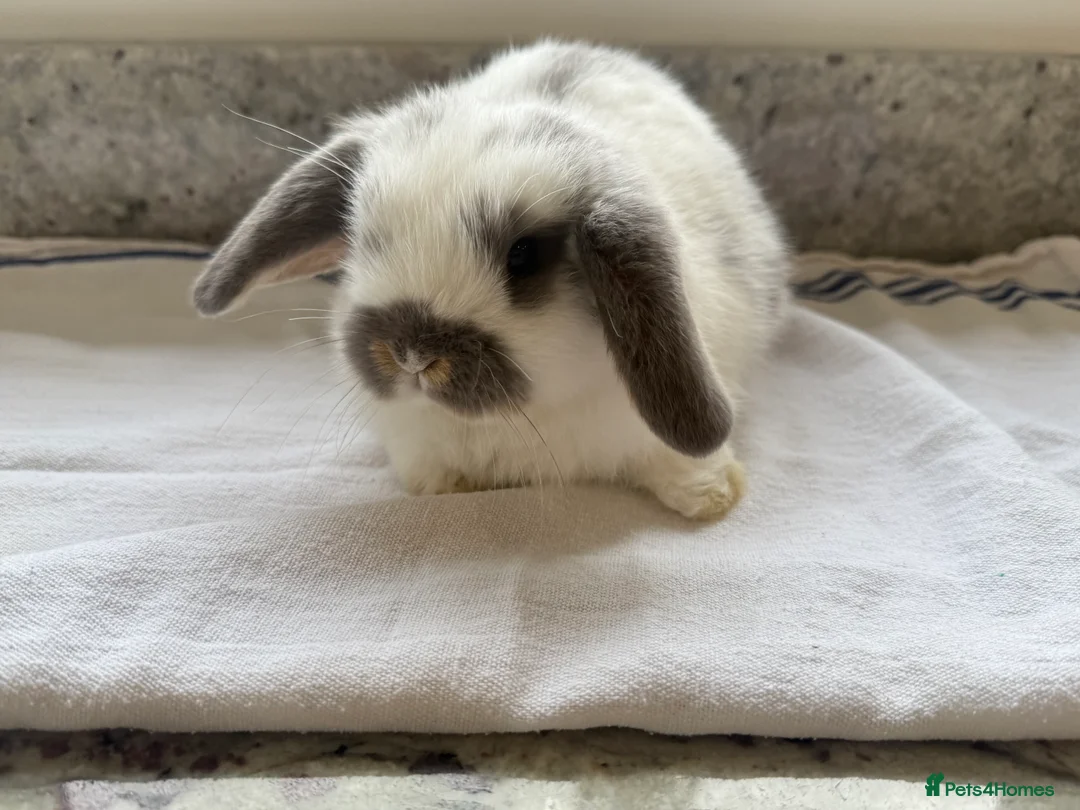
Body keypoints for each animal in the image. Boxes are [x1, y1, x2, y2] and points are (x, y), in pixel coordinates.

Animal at [192, 39, 792, 521]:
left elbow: (676, 458)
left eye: (523, 256)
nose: (411, 355)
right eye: (362, 237)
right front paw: (441, 486)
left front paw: (713, 495)